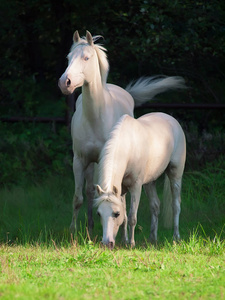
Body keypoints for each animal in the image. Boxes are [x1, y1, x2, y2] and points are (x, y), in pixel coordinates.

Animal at [59, 30, 185, 231]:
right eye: (68, 58)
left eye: (86, 58)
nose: (65, 82)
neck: (95, 118)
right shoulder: (79, 160)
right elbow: (78, 198)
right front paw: (73, 232)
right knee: (89, 192)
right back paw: (90, 227)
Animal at [94, 112, 185, 248]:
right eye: (99, 213)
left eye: (116, 213)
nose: (106, 243)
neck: (128, 148)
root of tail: (171, 119)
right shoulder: (121, 190)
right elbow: (125, 217)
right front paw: (124, 240)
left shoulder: (135, 188)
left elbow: (132, 217)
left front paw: (131, 243)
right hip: (149, 182)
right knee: (155, 205)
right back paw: (152, 238)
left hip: (175, 175)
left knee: (176, 206)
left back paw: (176, 237)